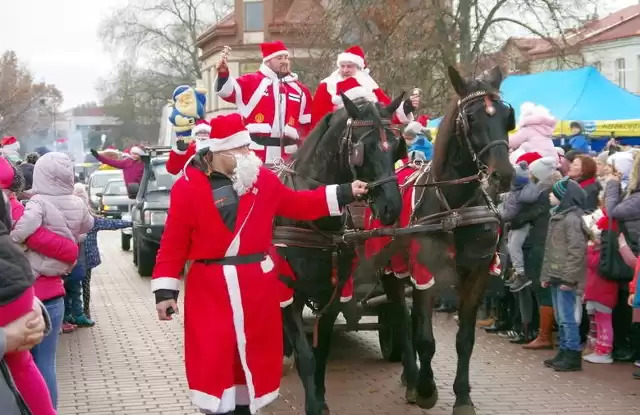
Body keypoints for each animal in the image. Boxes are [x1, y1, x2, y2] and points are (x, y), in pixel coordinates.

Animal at [274, 95, 404, 415]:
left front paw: (321, 401)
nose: (392, 207)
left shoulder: (331, 296)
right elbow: (307, 357)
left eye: (397, 145)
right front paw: (313, 405)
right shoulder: (290, 295)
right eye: (362, 148)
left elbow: (320, 353)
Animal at [360, 66, 516, 415]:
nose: (504, 175)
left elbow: (465, 340)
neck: (454, 210)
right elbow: (425, 339)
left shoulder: (477, 276)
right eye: (471, 117)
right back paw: (411, 377)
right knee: (403, 321)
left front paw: (463, 397)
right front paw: (426, 389)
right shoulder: (425, 276)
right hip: (392, 273)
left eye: (506, 116)